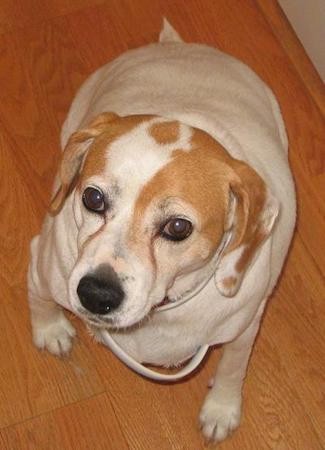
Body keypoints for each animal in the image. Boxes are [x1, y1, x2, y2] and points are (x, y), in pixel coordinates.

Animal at [27, 19, 294, 442]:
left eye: (178, 227)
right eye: (93, 198)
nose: (95, 294)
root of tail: (178, 47)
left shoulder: (245, 326)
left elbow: (232, 369)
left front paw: (222, 408)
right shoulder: (42, 263)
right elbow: (38, 298)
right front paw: (50, 328)